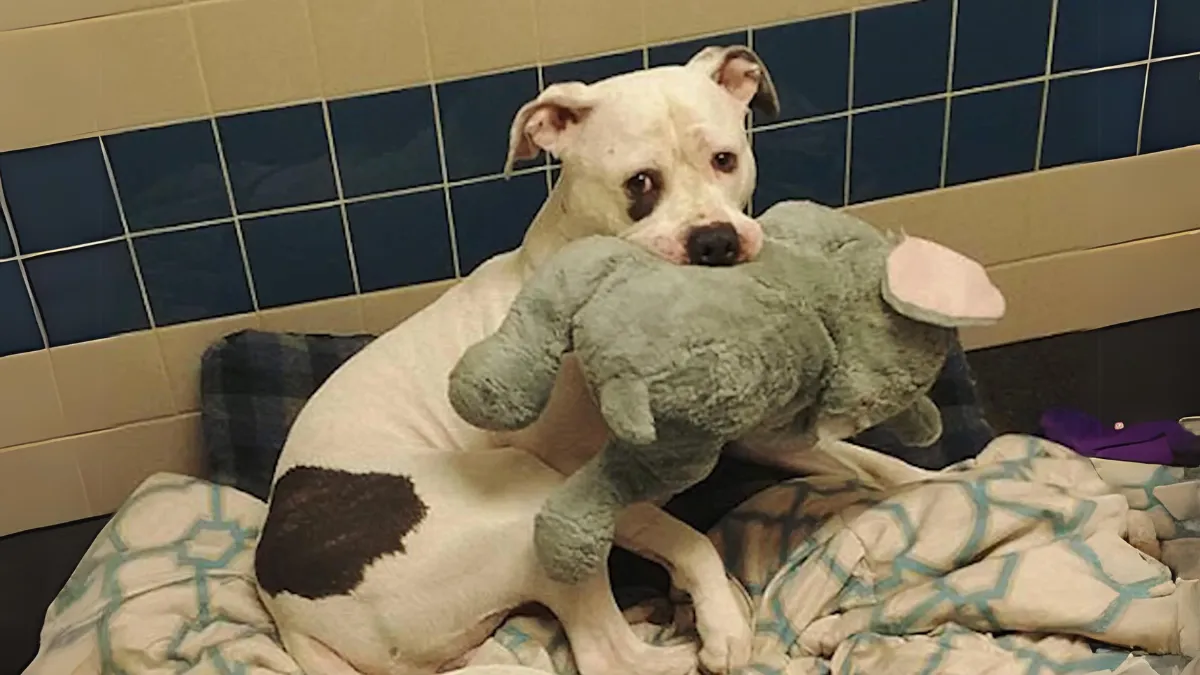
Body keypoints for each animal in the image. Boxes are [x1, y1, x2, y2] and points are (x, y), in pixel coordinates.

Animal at [252, 45, 816, 672]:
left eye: (724, 160)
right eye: (640, 182)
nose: (715, 241)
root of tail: (292, 618)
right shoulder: (590, 490)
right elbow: (688, 540)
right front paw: (721, 621)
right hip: (530, 504)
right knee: (610, 655)